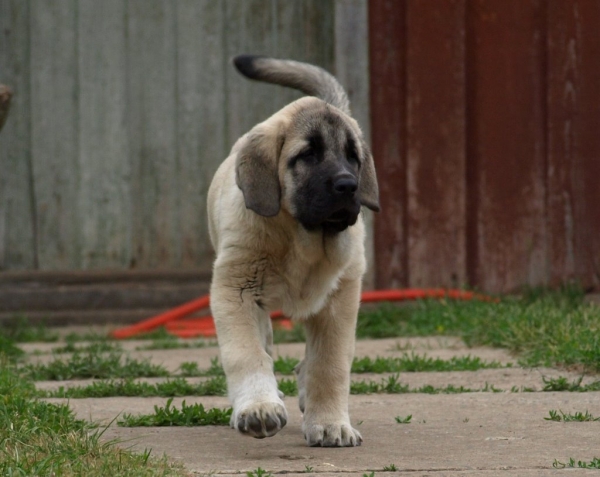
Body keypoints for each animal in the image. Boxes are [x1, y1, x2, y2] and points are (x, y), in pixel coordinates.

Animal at [209, 55, 380, 446]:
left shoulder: (339, 301)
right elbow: (247, 354)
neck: (301, 240)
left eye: (353, 157)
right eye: (308, 155)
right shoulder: (235, 290)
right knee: (265, 345)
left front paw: (330, 423)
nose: (348, 186)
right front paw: (258, 407)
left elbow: (329, 366)